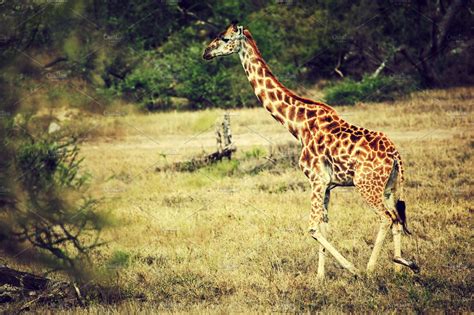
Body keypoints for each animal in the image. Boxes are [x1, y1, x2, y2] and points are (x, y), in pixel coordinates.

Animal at [204, 23, 418, 278]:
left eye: (225, 38)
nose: (206, 52)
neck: (297, 125)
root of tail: (395, 155)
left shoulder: (316, 179)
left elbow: (313, 228)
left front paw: (350, 268)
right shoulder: (327, 185)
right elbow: (324, 227)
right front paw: (320, 277)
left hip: (365, 185)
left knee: (386, 218)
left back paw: (370, 268)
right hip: (388, 186)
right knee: (396, 218)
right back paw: (401, 266)